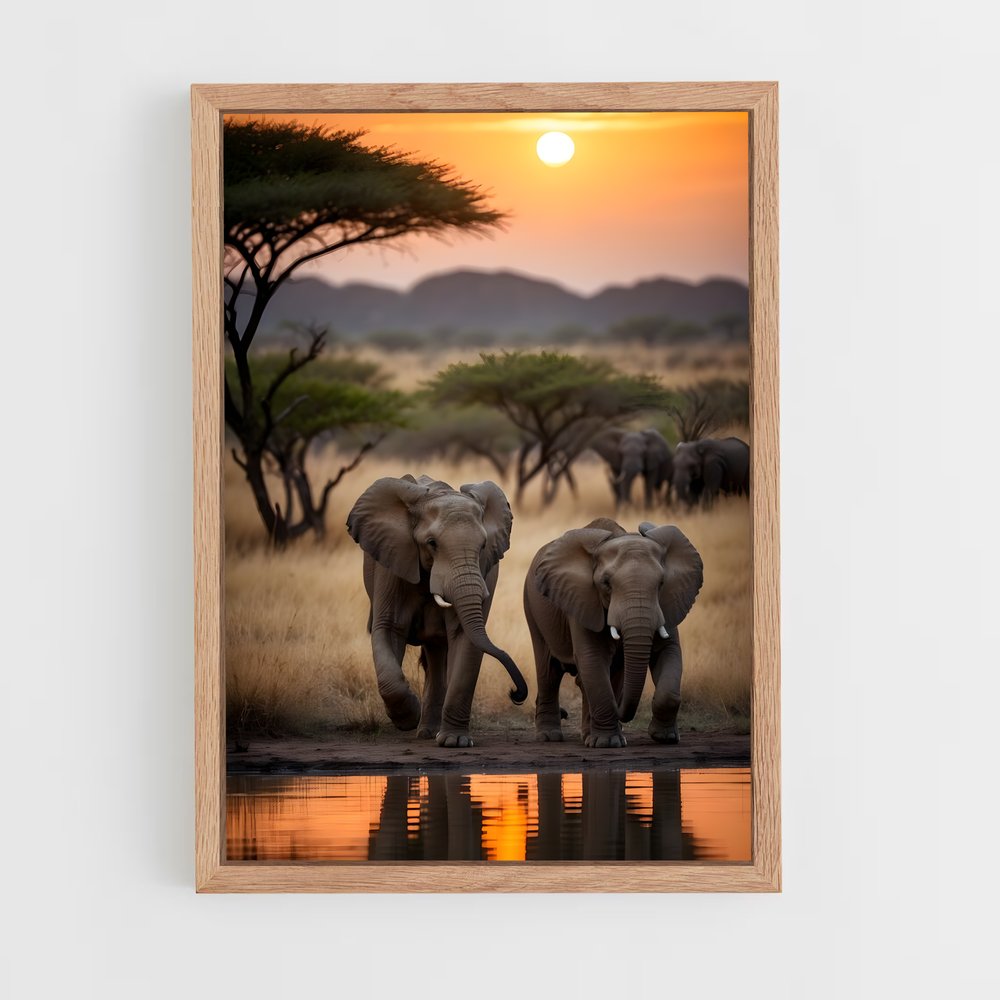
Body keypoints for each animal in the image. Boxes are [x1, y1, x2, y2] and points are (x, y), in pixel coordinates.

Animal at [346, 474, 528, 747]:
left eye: (483, 545)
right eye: (432, 543)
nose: (515, 693)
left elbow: (465, 639)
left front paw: (454, 741)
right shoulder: (391, 565)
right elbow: (387, 630)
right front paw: (407, 717)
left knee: (436, 653)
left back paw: (430, 732)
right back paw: (423, 730)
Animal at [523, 517, 704, 748]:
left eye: (662, 583)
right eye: (606, 583)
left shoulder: (668, 603)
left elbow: (669, 653)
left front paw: (666, 738)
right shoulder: (583, 599)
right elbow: (592, 658)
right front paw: (607, 743)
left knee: (610, 674)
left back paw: (588, 734)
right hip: (532, 607)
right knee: (549, 672)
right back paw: (550, 737)